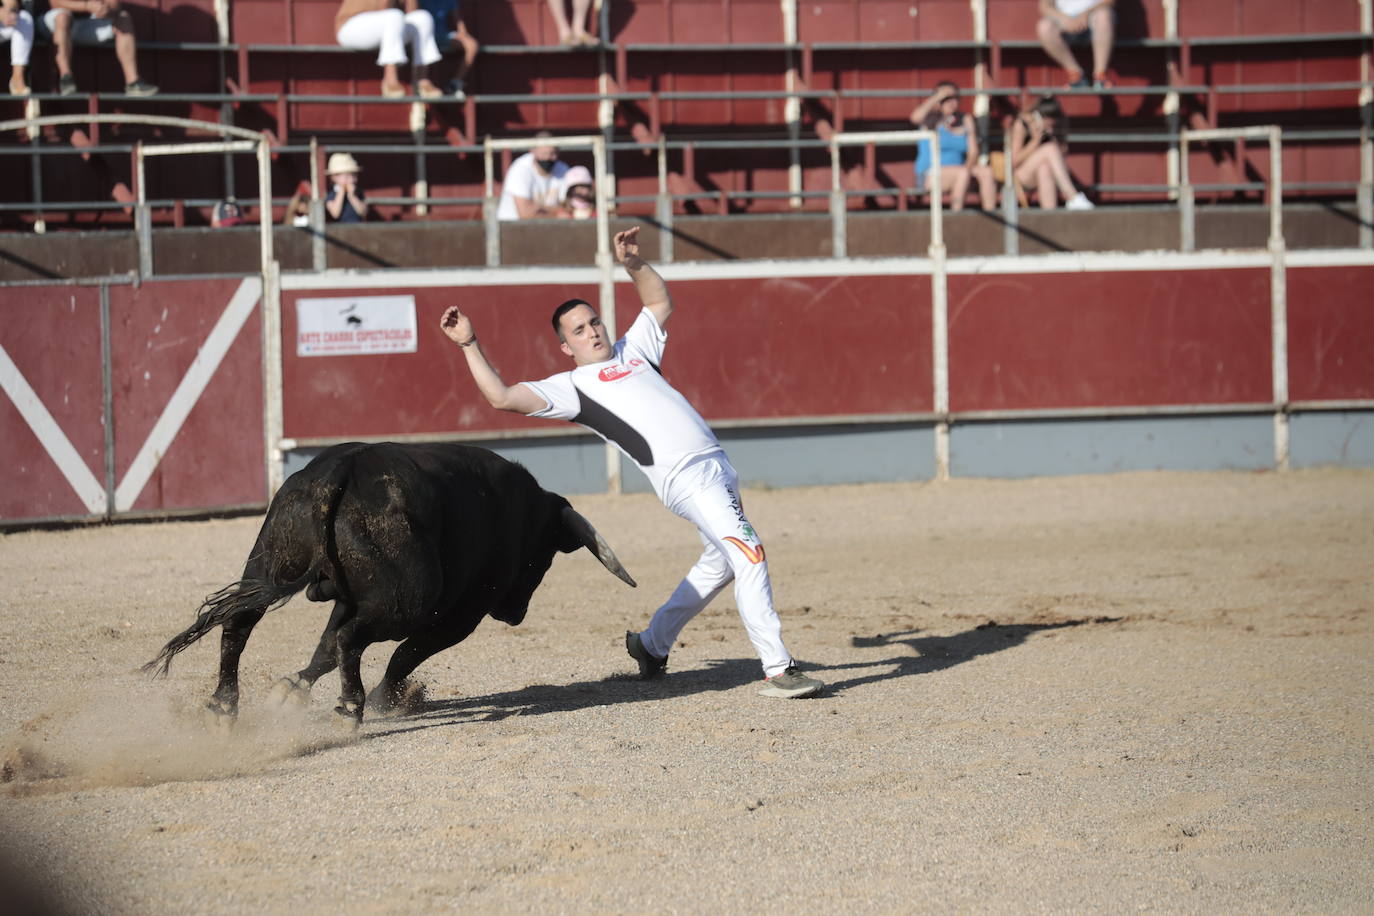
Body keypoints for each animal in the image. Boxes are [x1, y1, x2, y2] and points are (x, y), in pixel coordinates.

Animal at [142, 444, 634, 725]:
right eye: (543, 558)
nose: (514, 614)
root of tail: (340, 470)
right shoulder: (460, 615)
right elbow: (406, 653)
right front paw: (387, 699)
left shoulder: (352, 597)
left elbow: (324, 649)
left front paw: (292, 689)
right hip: (408, 600)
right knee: (353, 639)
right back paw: (352, 707)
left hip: (267, 563)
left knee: (240, 625)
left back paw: (224, 706)